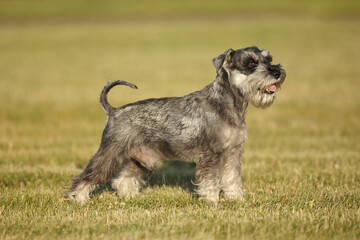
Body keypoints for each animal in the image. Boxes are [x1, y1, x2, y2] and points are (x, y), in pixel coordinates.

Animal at [66, 45, 286, 202]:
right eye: (250, 64)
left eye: (268, 59)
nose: (277, 72)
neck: (230, 104)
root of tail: (113, 111)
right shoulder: (212, 154)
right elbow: (210, 181)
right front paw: (212, 202)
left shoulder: (233, 153)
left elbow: (232, 178)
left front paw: (236, 200)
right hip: (110, 152)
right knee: (87, 176)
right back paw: (79, 198)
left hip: (142, 159)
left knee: (122, 180)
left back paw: (131, 197)